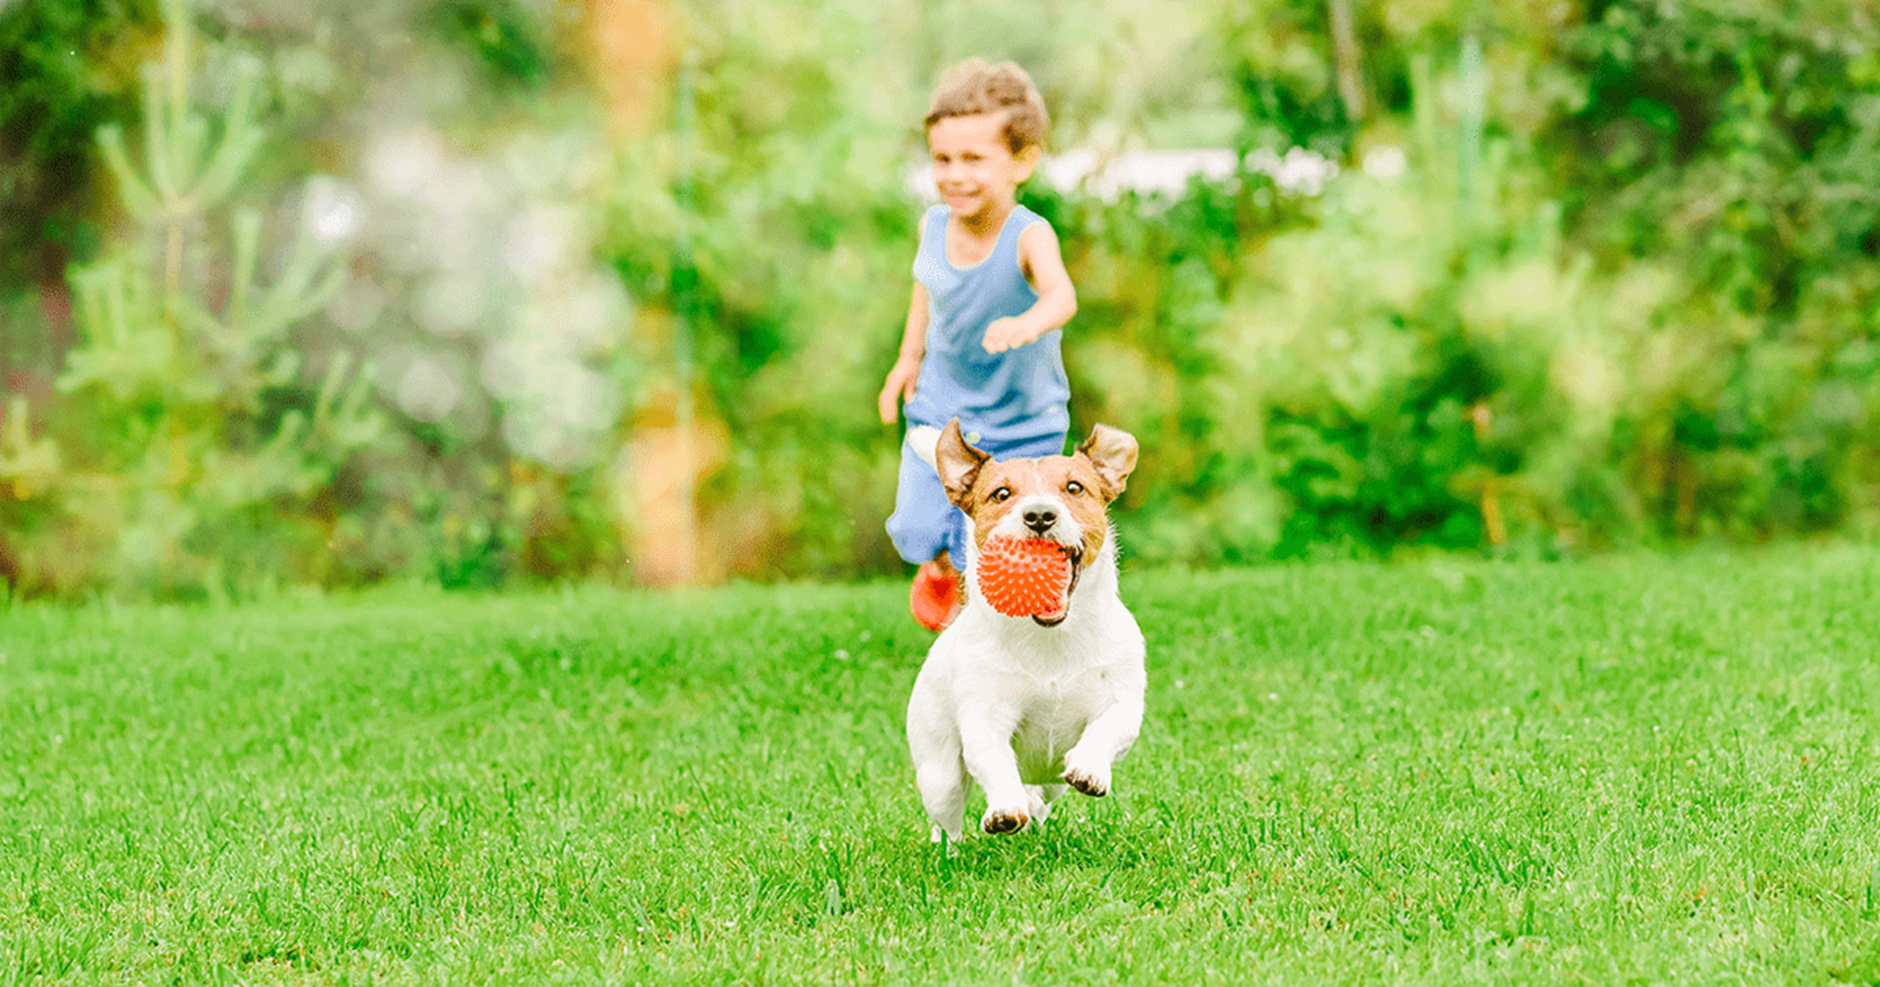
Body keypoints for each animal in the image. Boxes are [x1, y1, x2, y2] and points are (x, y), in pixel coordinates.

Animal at [898, 415, 1135, 838]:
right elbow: (994, 761)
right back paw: (951, 846)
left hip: (1051, 782)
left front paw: (1090, 770)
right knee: (946, 820)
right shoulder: (985, 715)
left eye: (1074, 487)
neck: (1050, 638)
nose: (1039, 515)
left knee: (1042, 798)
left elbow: (1108, 728)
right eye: (1001, 494)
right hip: (939, 773)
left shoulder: (1123, 698)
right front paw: (1005, 808)